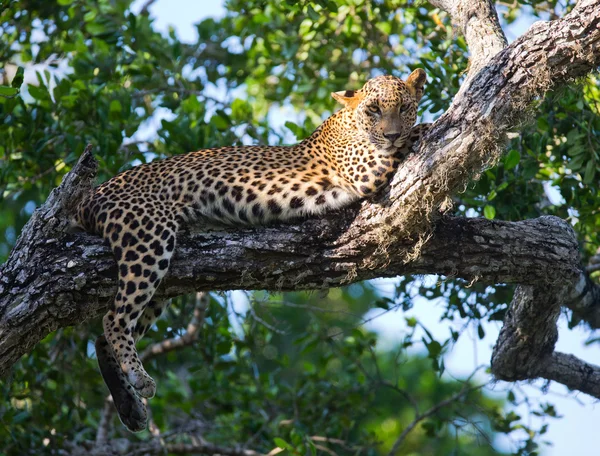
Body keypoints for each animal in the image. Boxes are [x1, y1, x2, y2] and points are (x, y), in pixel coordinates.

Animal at [75, 67, 432, 432]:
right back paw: (139, 379)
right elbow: (416, 135)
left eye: (404, 107)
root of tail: (91, 195)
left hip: (163, 282)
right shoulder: (365, 168)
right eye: (373, 110)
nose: (391, 134)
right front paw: (424, 129)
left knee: (104, 336)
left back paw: (129, 407)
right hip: (147, 239)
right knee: (113, 318)